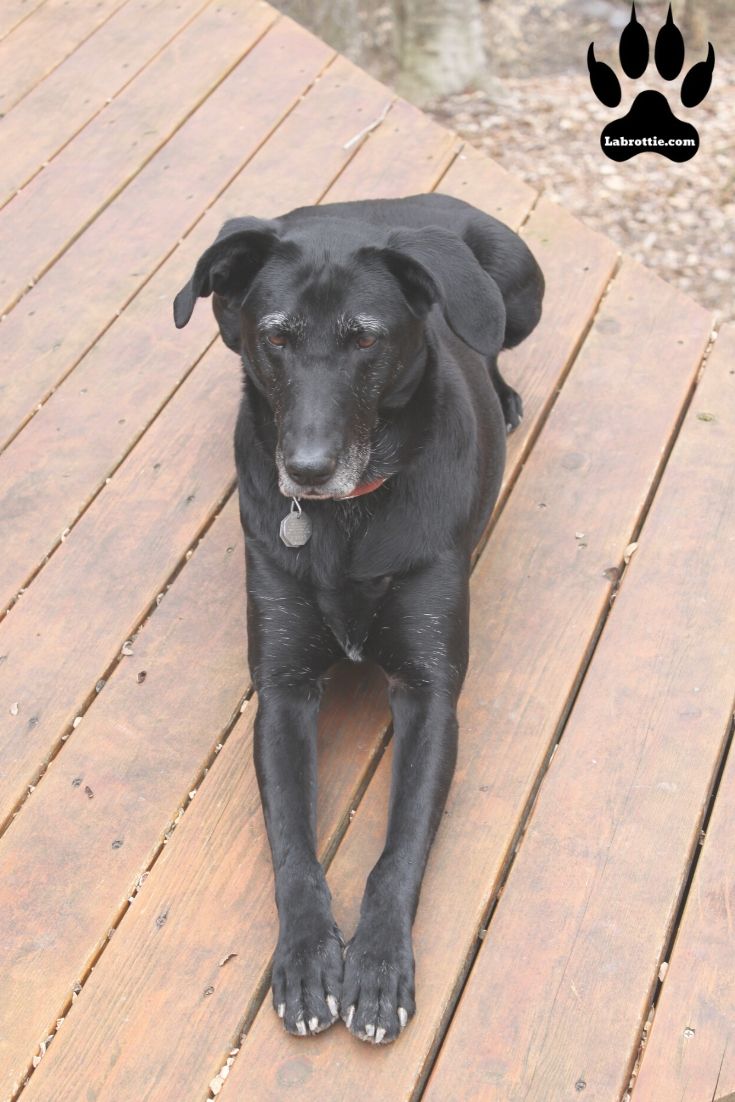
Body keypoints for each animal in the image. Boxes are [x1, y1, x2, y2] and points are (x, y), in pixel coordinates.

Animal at [170, 193, 539, 1044]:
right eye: (276, 336)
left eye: (365, 338)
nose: (305, 469)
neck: (343, 522)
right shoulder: (280, 690)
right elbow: (293, 848)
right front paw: (309, 958)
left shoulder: (430, 694)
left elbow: (398, 850)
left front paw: (376, 965)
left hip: (518, 287)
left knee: (493, 343)